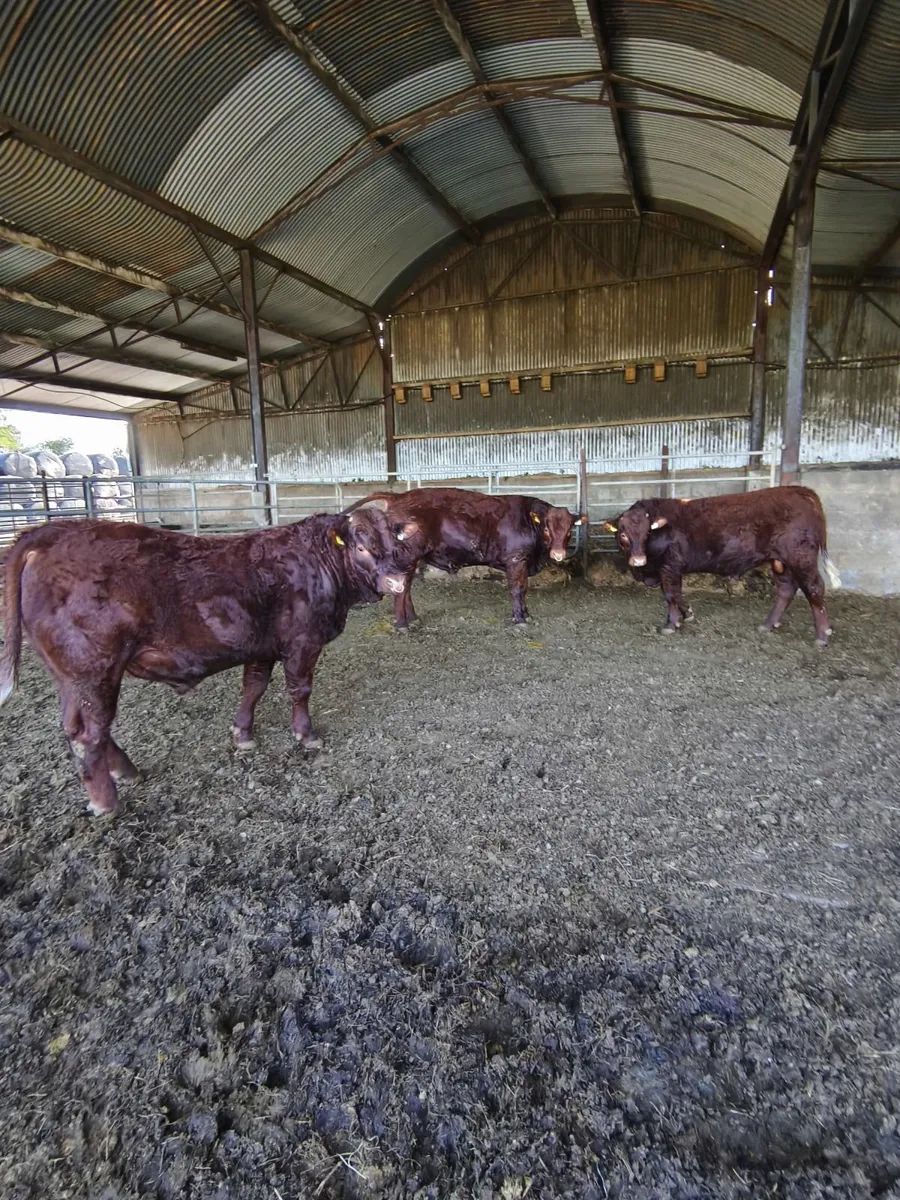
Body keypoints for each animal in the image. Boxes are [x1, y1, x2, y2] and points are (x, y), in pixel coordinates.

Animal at [0, 507, 416, 815]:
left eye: (392, 539)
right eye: (361, 546)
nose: (397, 579)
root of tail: (52, 532)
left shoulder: (261, 646)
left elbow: (254, 687)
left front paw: (243, 734)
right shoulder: (302, 642)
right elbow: (299, 690)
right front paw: (306, 735)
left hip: (71, 677)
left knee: (78, 728)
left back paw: (127, 772)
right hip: (95, 669)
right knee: (91, 733)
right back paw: (107, 801)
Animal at [342, 487, 583, 630]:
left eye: (569, 530)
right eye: (547, 529)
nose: (559, 554)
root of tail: (398, 496)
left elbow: (523, 589)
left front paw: (526, 614)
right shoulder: (516, 560)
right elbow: (517, 590)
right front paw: (520, 618)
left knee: (406, 587)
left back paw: (412, 618)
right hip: (407, 554)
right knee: (401, 590)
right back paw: (402, 624)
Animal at [602, 485, 841, 645]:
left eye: (646, 533)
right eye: (623, 535)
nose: (638, 560)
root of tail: (801, 491)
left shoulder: (670, 567)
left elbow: (671, 595)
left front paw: (672, 624)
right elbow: (675, 595)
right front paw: (685, 614)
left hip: (802, 558)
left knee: (814, 588)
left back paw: (822, 636)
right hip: (780, 562)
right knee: (786, 589)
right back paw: (768, 624)